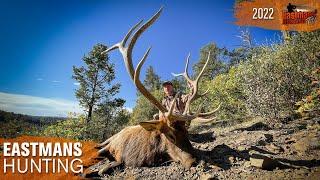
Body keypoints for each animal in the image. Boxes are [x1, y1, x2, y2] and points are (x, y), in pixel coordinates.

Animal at [83, 7, 220, 177]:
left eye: (187, 133)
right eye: (170, 135)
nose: (194, 161)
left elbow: (104, 168)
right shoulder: (110, 148)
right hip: (109, 138)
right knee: (97, 145)